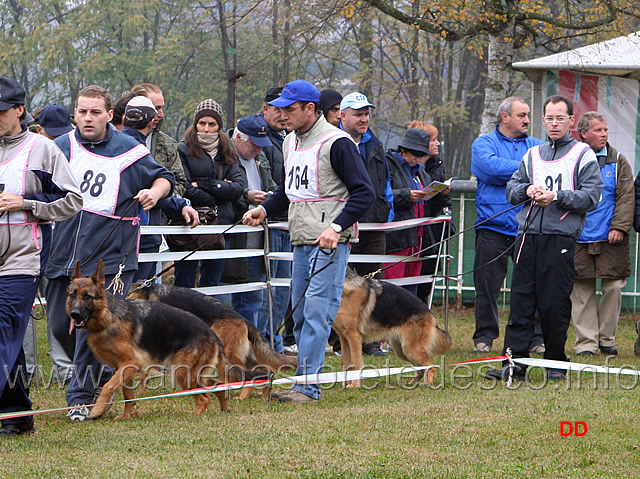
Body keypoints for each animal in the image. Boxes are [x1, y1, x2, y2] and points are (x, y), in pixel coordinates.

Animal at [68, 260, 262, 422]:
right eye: (72, 295)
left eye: (87, 296)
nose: (74, 314)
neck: (108, 315)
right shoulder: (123, 367)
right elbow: (127, 394)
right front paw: (126, 415)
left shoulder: (132, 363)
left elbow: (109, 386)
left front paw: (97, 409)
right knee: (216, 386)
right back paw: (223, 407)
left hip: (184, 372)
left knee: (206, 396)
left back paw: (197, 414)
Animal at [127, 284, 298, 400]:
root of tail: (244, 320)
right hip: (241, 355)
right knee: (263, 369)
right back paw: (264, 391)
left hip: (230, 354)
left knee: (245, 372)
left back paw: (243, 395)